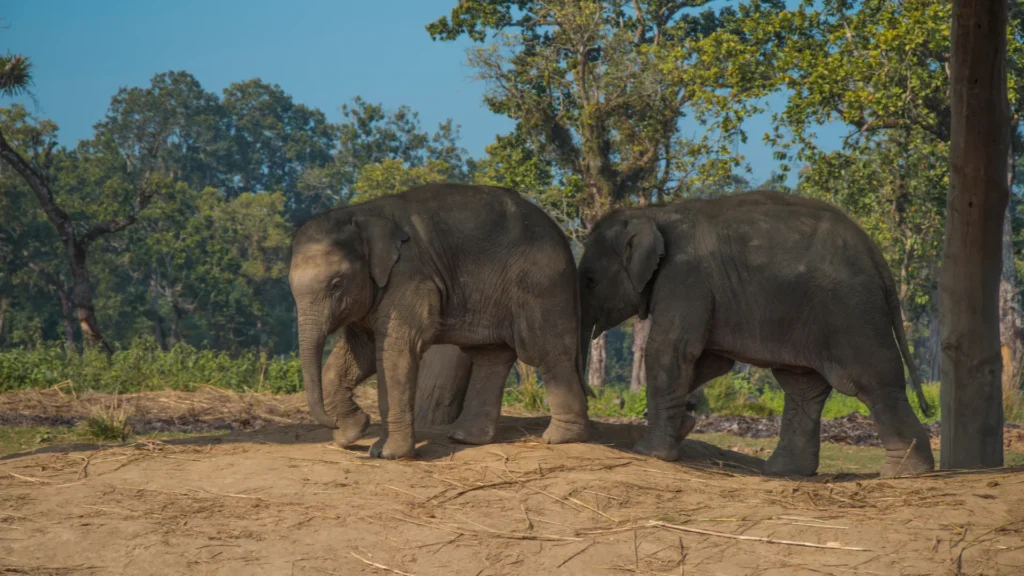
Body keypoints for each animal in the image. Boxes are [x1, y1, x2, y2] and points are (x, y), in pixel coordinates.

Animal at [289, 183, 591, 459]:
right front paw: (352, 433)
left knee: (545, 351)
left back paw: (560, 438)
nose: (334, 424)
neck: (360, 211)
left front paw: (387, 453)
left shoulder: (410, 274)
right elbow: (360, 352)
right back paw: (465, 438)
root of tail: (563, 237)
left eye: (336, 284)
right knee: (491, 356)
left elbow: (396, 351)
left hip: (542, 283)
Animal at [576, 190, 935, 478]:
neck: (654, 212)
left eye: (590, 280)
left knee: (873, 380)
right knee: (802, 387)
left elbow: (672, 350)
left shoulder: (684, 276)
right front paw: (683, 424)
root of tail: (877, 256)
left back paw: (905, 472)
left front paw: (651, 453)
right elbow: (710, 361)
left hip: (851, 310)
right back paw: (785, 472)